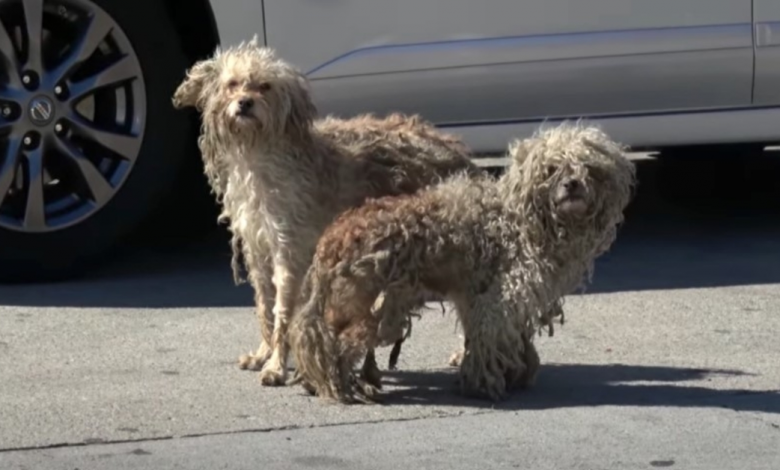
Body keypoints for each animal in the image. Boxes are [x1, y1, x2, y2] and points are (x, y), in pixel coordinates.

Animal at [171, 35, 484, 384]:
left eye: (265, 86)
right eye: (232, 84)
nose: (244, 103)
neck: (259, 152)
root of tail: (459, 153)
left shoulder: (289, 248)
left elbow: (282, 310)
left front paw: (276, 365)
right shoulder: (258, 248)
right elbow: (265, 305)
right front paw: (263, 353)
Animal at [286, 123, 632, 402]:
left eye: (589, 167)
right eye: (551, 169)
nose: (572, 184)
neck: (523, 218)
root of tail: (331, 239)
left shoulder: (478, 298)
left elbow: (501, 337)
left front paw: (515, 371)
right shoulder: (499, 299)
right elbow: (489, 338)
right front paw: (485, 384)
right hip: (368, 308)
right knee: (335, 345)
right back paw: (341, 386)